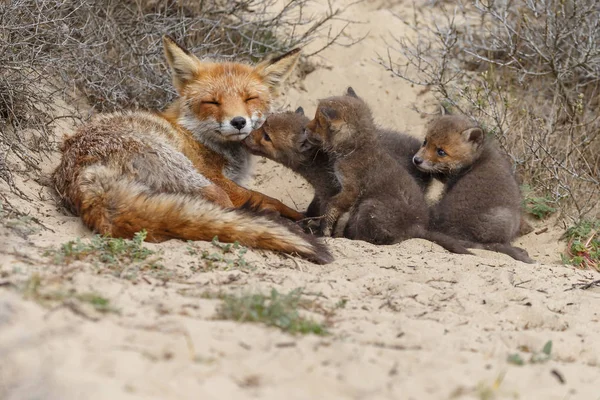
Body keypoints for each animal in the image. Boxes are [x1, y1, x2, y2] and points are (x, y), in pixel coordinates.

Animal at [52, 36, 332, 264]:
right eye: (213, 102)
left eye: (249, 98)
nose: (238, 122)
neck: (200, 137)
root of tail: (86, 175)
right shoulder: (217, 177)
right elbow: (268, 198)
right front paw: (300, 218)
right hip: (197, 179)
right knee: (228, 209)